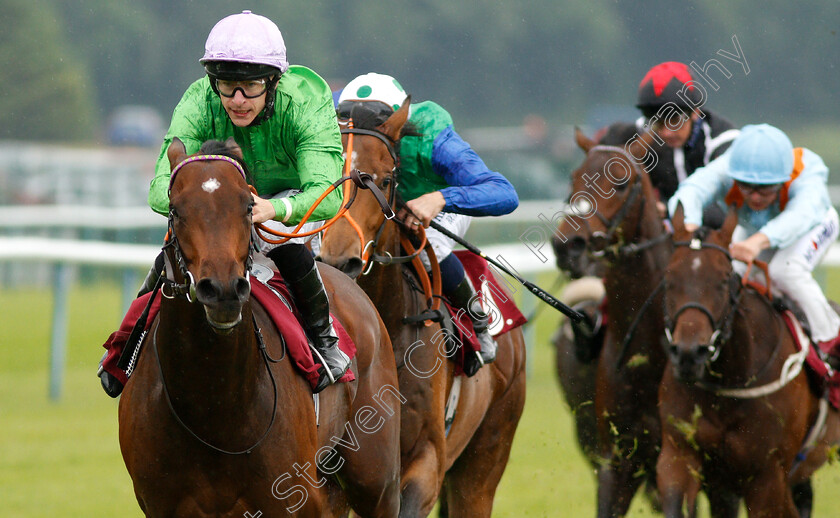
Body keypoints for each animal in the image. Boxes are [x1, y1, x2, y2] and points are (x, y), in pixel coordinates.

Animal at [119, 139, 404, 518]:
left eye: (248, 206)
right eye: (176, 210)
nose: (222, 290)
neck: (213, 406)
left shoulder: (290, 498)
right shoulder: (161, 504)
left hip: (376, 480)